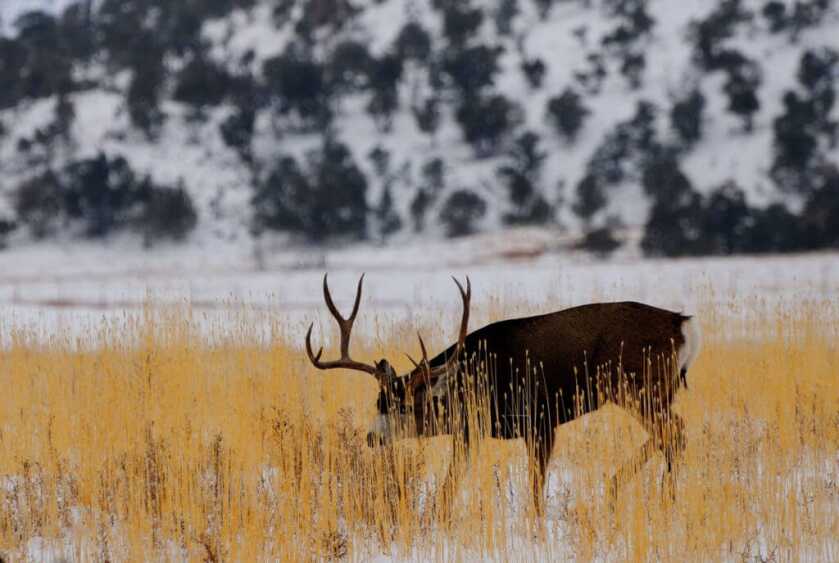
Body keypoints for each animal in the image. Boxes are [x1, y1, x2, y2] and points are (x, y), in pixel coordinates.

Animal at [305, 274, 701, 516]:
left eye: (404, 407)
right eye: (378, 402)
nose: (371, 437)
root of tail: (682, 324)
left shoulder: (539, 418)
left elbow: (534, 484)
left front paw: (536, 526)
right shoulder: (473, 430)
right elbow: (452, 480)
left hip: (637, 385)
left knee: (675, 433)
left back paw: (651, 495)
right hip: (648, 390)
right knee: (671, 434)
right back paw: (624, 488)